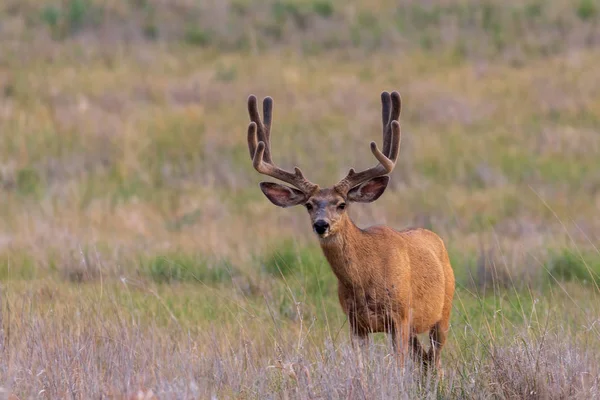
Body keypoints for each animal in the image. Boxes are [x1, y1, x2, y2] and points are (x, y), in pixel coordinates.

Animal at [244, 92, 454, 370]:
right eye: (309, 205)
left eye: (341, 204)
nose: (321, 225)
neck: (365, 279)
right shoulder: (355, 323)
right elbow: (361, 367)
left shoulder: (400, 317)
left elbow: (398, 368)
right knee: (425, 362)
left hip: (443, 314)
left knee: (436, 361)